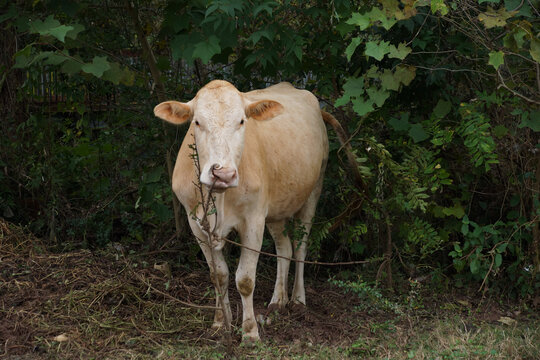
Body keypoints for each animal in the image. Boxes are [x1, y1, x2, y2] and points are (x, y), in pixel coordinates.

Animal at [153, 80, 346, 342]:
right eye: (197, 122)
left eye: (242, 121)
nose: (223, 174)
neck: (219, 198)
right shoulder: (196, 223)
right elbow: (218, 275)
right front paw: (220, 322)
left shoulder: (253, 220)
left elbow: (244, 279)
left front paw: (250, 332)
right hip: (276, 208)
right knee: (284, 247)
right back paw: (278, 300)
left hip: (314, 189)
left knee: (300, 247)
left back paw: (297, 299)